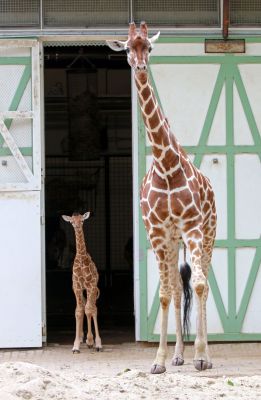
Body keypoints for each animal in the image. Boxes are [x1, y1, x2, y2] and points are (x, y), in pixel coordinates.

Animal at [61, 211, 101, 352]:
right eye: (72, 222)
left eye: (82, 221)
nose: (77, 227)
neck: (81, 259)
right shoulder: (77, 287)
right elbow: (78, 311)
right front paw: (76, 345)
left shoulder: (91, 285)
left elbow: (89, 310)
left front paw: (91, 341)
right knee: (84, 306)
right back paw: (81, 338)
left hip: (93, 289)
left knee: (93, 308)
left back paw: (97, 343)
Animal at [106, 21, 215, 372]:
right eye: (128, 47)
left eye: (150, 48)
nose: (140, 68)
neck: (166, 166)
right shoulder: (157, 232)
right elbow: (167, 293)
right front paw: (159, 361)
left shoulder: (193, 226)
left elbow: (199, 284)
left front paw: (201, 357)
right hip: (173, 239)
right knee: (179, 288)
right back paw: (179, 355)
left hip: (208, 232)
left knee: (204, 283)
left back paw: (204, 356)